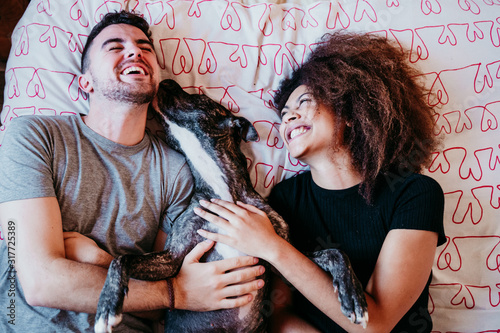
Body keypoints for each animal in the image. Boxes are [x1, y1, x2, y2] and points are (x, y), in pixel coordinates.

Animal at [94, 79, 368, 330]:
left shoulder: (282, 257)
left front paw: (353, 297)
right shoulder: (173, 259)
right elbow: (121, 259)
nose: (165, 80)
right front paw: (107, 306)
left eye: (198, 96)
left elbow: (334, 252)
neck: (222, 189)